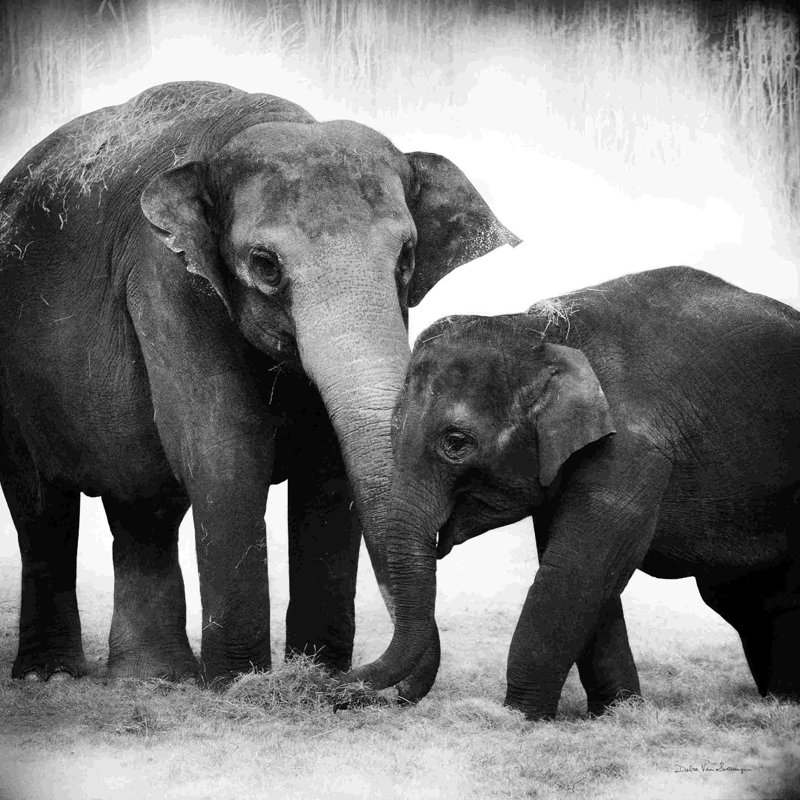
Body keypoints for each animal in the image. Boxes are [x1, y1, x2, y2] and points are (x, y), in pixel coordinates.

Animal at [0, 80, 519, 687]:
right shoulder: (167, 277)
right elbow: (225, 447)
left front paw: (313, 673)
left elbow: (330, 464)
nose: (350, 682)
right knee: (42, 507)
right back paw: (51, 677)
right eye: (265, 264)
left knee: (142, 506)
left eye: (407, 257)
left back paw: (154, 679)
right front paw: (241, 686)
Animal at [346, 266, 800, 719]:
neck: (543, 332)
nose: (341, 690)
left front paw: (519, 717)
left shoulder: (633, 449)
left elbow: (575, 569)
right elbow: (584, 574)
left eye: (456, 442)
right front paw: (615, 714)